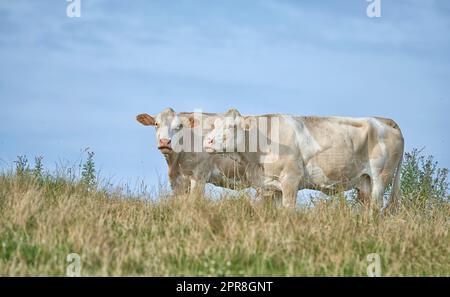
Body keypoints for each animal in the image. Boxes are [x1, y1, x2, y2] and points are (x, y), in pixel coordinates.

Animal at [204, 107, 404, 209]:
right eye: (214, 124)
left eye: (232, 126)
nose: (207, 141)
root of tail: (384, 121)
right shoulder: (272, 186)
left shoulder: (290, 180)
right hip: (365, 182)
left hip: (381, 178)